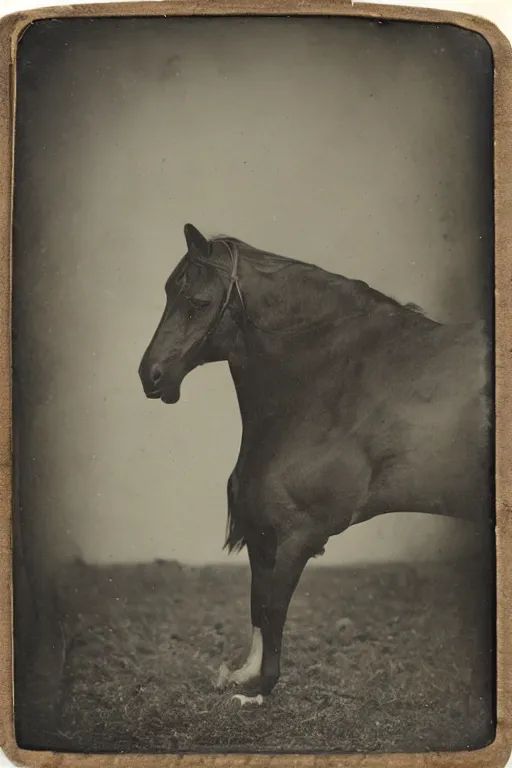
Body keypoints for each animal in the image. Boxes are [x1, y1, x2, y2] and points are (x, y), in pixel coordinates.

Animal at [138, 224, 490, 708]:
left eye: (199, 303)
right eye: (169, 292)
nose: (149, 376)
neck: (328, 376)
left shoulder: (299, 532)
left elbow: (273, 608)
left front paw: (259, 691)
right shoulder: (263, 531)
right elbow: (258, 602)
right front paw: (243, 675)